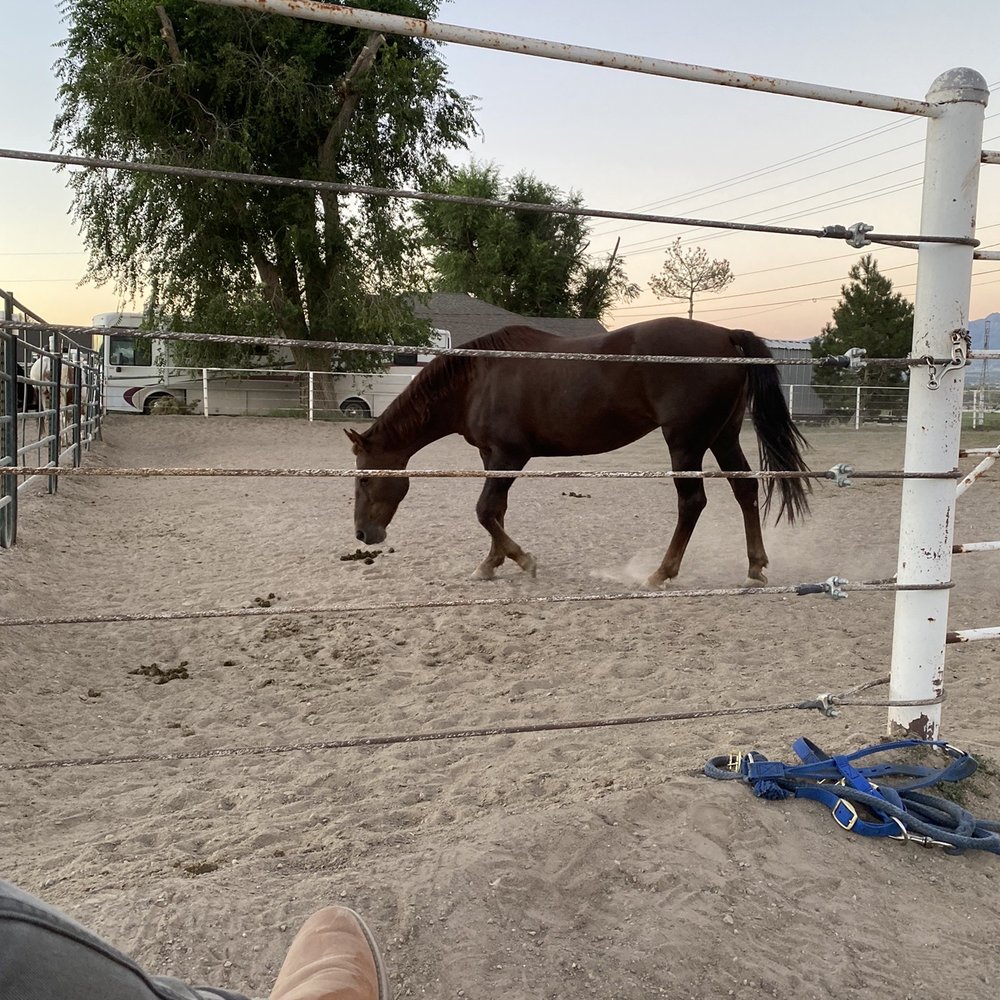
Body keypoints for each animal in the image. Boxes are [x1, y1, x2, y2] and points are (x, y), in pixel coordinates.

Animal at [346, 317, 811, 587]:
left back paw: (660, 573)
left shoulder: (508, 456)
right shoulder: (492, 459)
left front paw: (523, 560)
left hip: (685, 443)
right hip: (723, 437)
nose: (364, 535)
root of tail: (726, 336)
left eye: (365, 478)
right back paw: (754, 567)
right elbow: (496, 512)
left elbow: (484, 511)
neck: (477, 379)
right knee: (745, 489)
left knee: (692, 503)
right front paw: (491, 563)